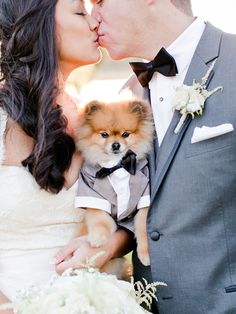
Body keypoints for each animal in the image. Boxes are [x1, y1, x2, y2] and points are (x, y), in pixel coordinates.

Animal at [74, 98, 154, 264]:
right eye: (104, 134)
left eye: (126, 134)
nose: (115, 144)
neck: (116, 165)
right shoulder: (92, 193)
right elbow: (99, 219)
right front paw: (98, 238)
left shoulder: (144, 195)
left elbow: (142, 225)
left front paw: (145, 253)